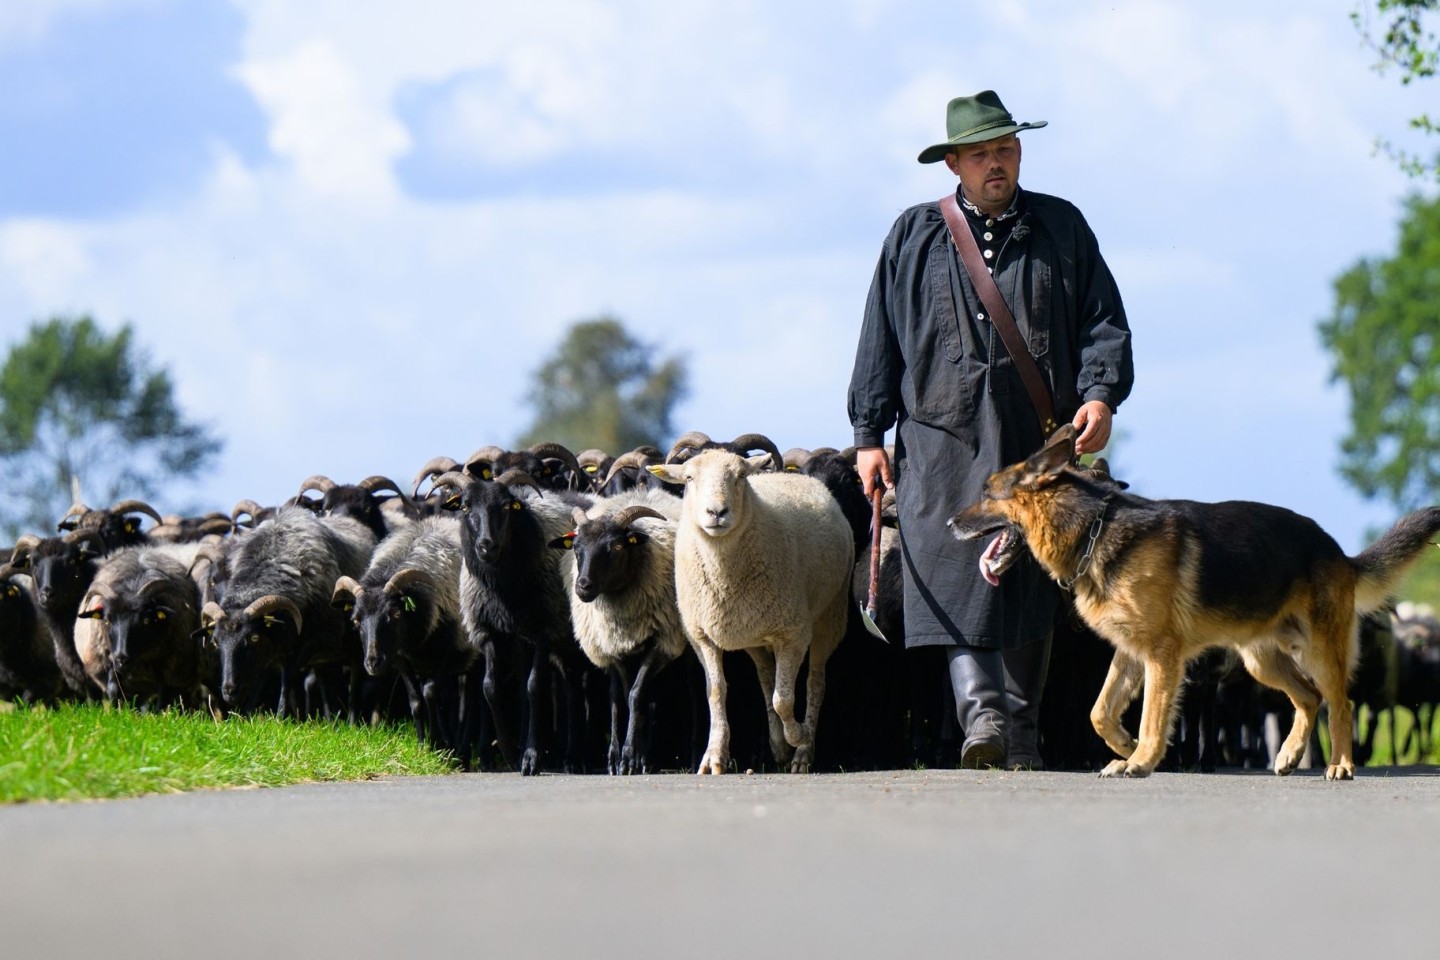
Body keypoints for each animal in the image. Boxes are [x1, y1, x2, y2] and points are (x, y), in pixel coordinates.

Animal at [653, 449, 852, 771]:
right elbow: (716, 691)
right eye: (689, 477)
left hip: (830, 616)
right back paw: (778, 745)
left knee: (815, 683)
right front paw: (714, 756)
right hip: (754, 635)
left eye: (741, 476)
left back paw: (802, 751)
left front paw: (798, 734)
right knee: (766, 678)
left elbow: (784, 699)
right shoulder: (701, 636)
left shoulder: (794, 633)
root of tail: (798, 477)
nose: (716, 512)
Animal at [944, 426, 1440, 782]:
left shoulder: (1161, 656)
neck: (1093, 530)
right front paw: (1126, 749)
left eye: (987, 493)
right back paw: (1288, 755)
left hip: (1319, 652)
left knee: (1340, 704)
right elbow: (1100, 712)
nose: (948, 523)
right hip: (1262, 661)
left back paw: (1341, 765)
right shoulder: (1130, 654)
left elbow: (1151, 714)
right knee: (1309, 697)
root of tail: (1339, 552)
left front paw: (1141, 759)